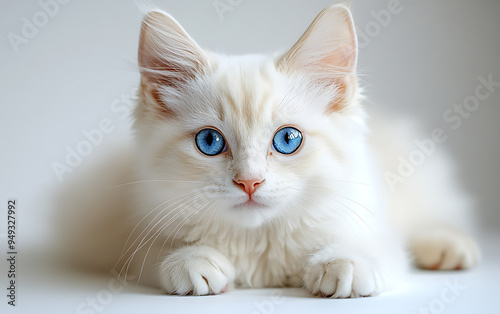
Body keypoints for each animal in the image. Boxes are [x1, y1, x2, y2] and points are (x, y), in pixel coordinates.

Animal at [55, 2, 480, 298]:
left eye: (288, 140)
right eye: (209, 142)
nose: (249, 182)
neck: (258, 242)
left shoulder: (367, 223)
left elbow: (373, 248)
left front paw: (341, 263)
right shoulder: (131, 233)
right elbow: (158, 253)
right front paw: (192, 261)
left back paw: (450, 248)